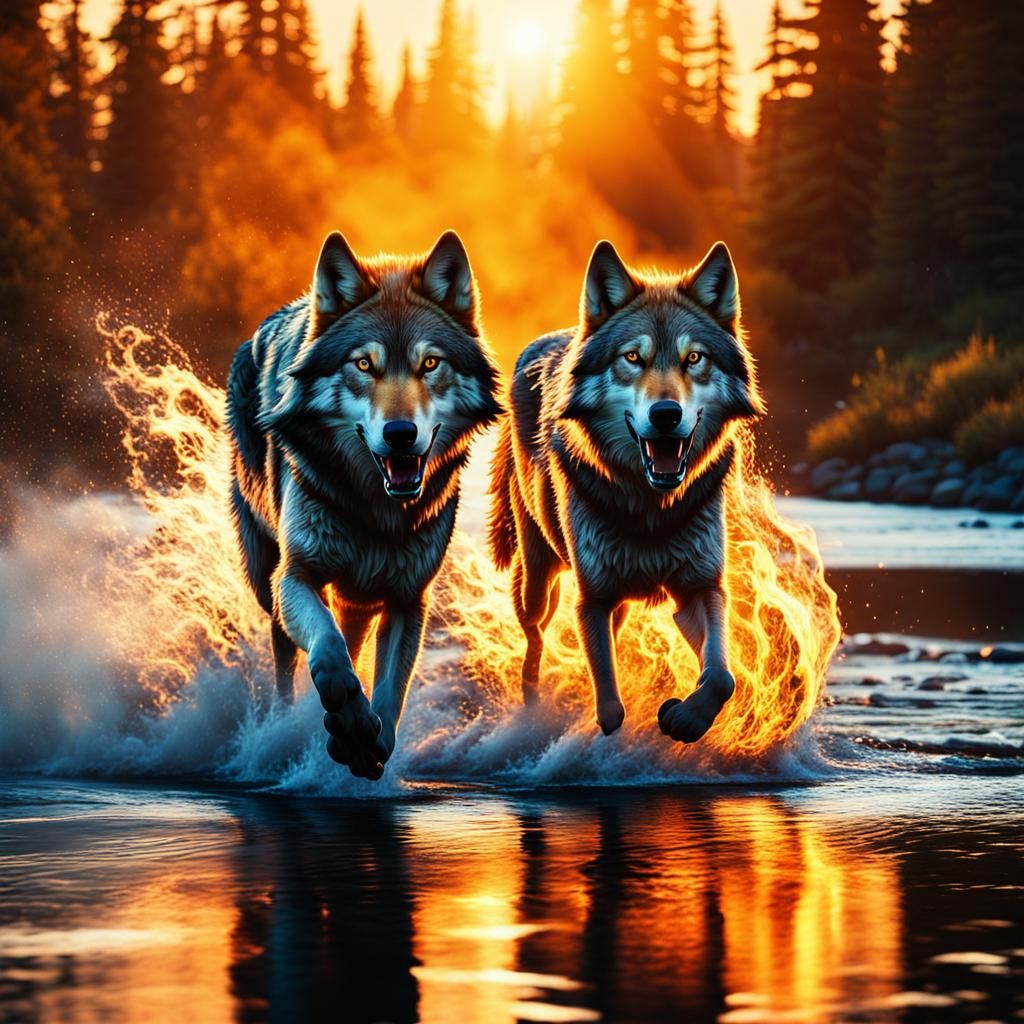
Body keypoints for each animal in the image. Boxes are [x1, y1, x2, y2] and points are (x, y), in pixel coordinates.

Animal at [227, 230, 501, 779]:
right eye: (363, 364)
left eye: (430, 364)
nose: (400, 434)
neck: (377, 510)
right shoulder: (297, 575)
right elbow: (330, 655)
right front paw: (350, 724)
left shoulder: (408, 598)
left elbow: (391, 686)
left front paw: (368, 742)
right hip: (267, 582)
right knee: (290, 658)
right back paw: (285, 725)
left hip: (360, 597)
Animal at [488, 240, 763, 744]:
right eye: (632, 358)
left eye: (693, 359)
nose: (666, 414)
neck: (651, 507)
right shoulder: (593, 596)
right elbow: (611, 705)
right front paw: (604, 718)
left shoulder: (700, 587)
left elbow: (721, 676)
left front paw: (685, 719)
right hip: (538, 582)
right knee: (534, 638)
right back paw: (533, 707)